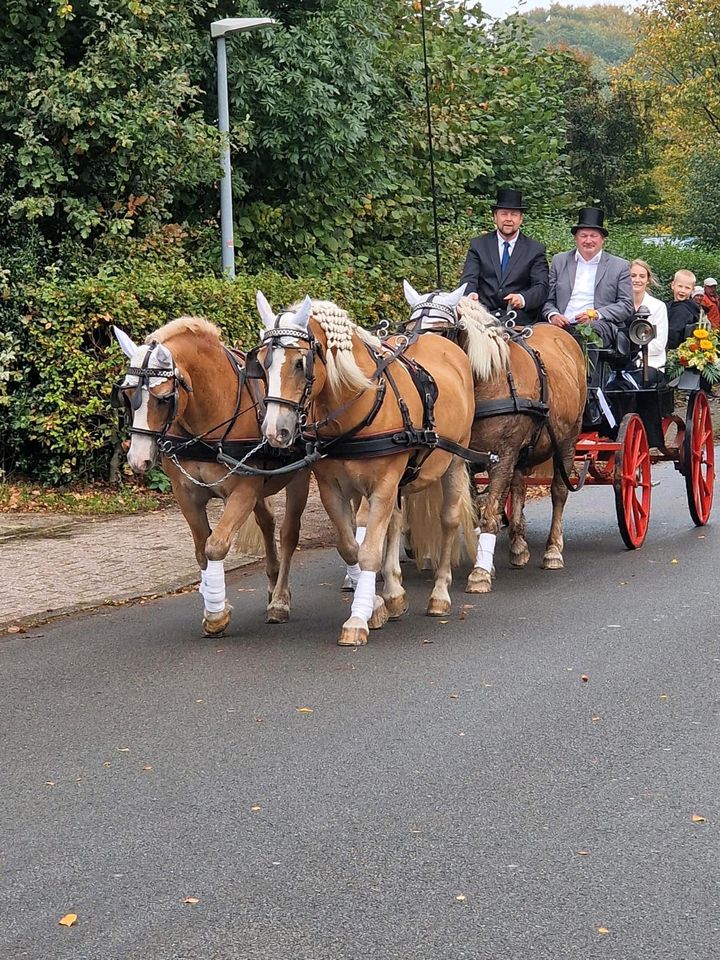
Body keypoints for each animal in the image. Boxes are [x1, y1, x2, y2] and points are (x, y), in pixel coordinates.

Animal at [112, 316, 310, 636]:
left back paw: (280, 599)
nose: (138, 459)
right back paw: (273, 582)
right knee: (267, 522)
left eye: (163, 399)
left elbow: (216, 545)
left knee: (290, 532)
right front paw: (213, 606)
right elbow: (202, 550)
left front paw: (217, 615)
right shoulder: (187, 495)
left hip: (300, 476)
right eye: (127, 395)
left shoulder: (243, 491)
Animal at [249, 290, 490, 644]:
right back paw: (394, 592)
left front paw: (358, 619)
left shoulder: (384, 484)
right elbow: (351, 547)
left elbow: (368, 551)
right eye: (263, 362)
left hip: (454, 462)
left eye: (299, 363)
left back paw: (439, 594)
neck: (358, 404)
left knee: (448, 520)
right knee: (395, 522)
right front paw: (377, 604)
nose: (274, 431)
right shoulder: (333, 489)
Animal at [402, 282, 588, 588]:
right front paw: (488, 558)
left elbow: (491, 512)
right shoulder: (466, 458)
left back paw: (552, 550)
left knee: (559, 492)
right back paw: (518, 546)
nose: (416, 376)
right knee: (519, 487)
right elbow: (482, 508)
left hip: (567, 441)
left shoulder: (502, 456)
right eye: (408, 328)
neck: (485, 381)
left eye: (440, 331)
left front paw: (480, 572)